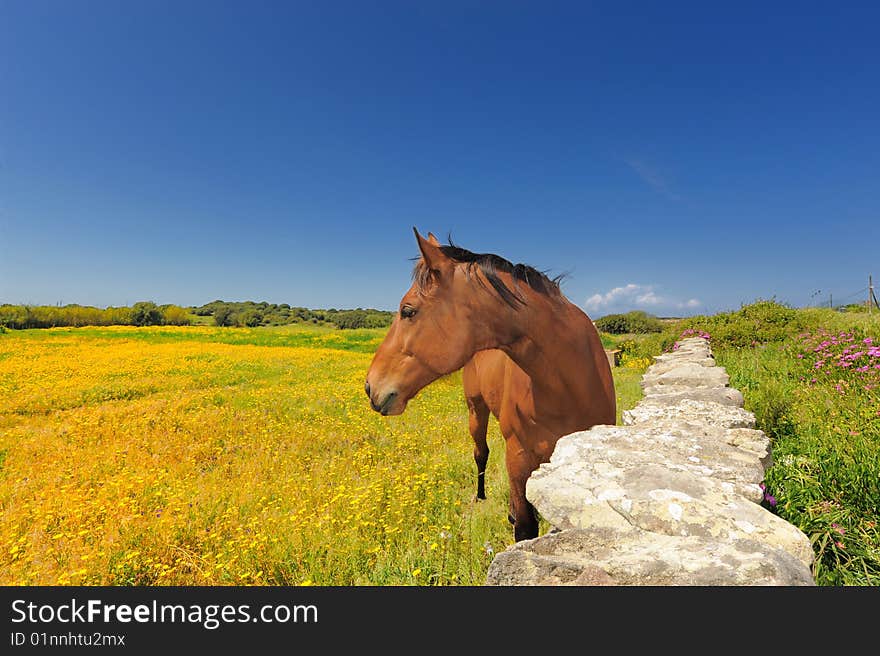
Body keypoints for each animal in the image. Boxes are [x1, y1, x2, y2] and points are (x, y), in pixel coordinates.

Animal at [360, 228, 616, 540]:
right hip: (476, 410)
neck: (568, 388)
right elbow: (525, 528)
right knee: (480, 453)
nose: (370, 386)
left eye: (408, 311)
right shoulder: (518, 457)